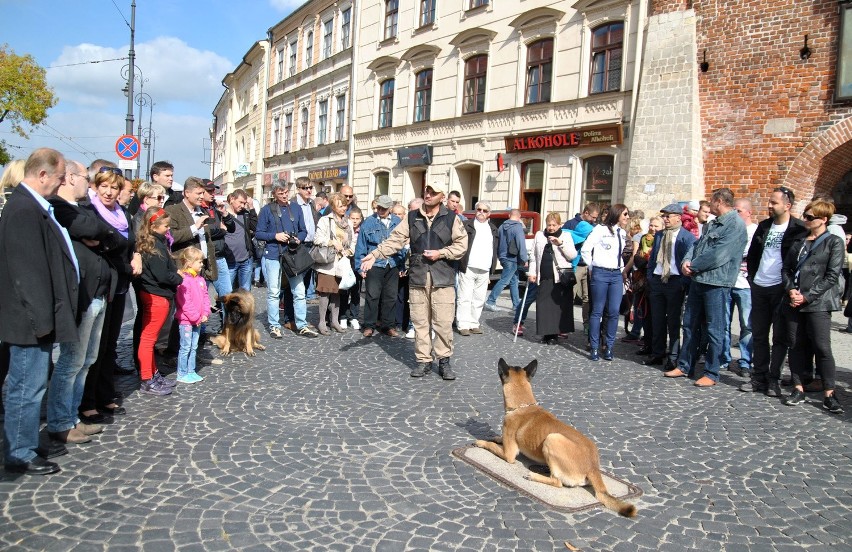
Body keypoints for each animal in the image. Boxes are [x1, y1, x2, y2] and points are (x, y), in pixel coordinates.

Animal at [476, 358, 636, 516]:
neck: (523, 405)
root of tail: (593, 468)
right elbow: (498, 439)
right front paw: (497, 437)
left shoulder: (508, 454)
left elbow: (492, 446)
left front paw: (481, 442)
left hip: (552, 438)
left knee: (557, 482)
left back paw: (534, 475)